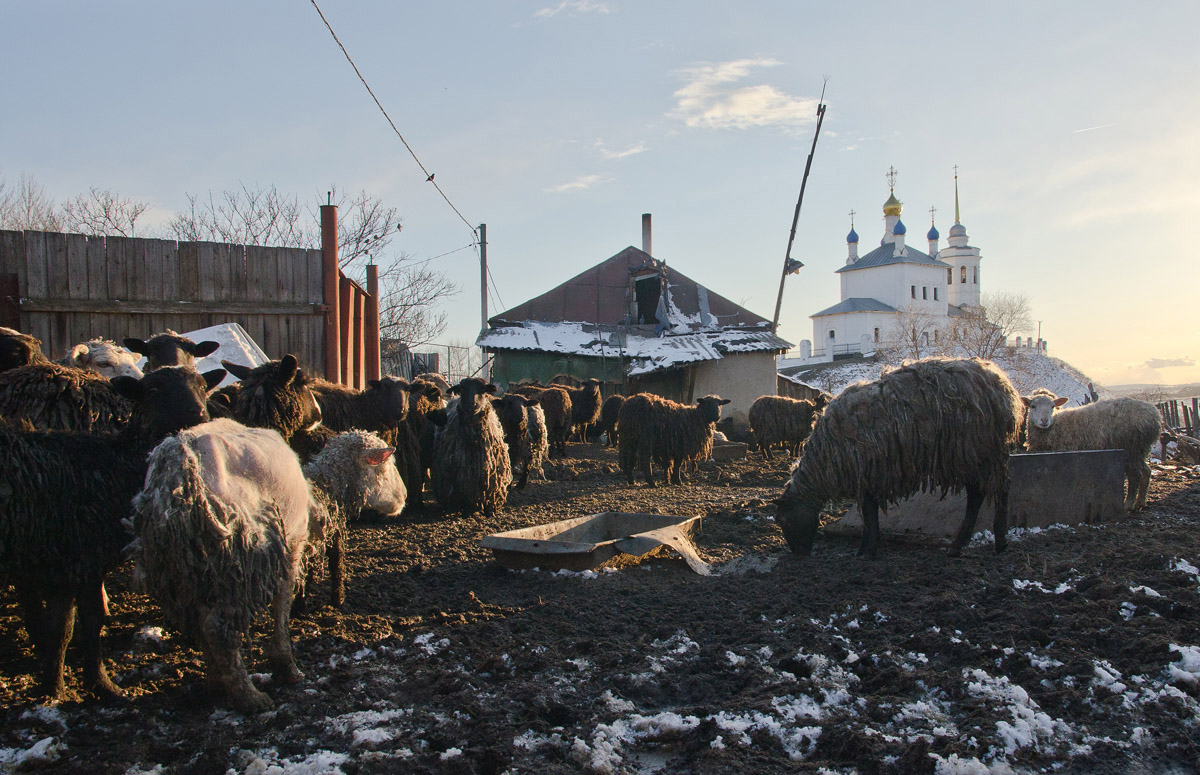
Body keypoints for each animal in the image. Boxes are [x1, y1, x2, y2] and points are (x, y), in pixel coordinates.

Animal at [0, 367, 224, 700]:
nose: (197, 413)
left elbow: (61, 628)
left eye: (201, 385)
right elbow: (91, 622)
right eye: (153, 390)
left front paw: (53, 689)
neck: (115, 466)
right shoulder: (85, 558)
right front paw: (102, 686)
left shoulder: (62, 567)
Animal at [130, 422, 403, 715]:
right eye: (385, 468)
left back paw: (220, 684)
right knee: (217, 629)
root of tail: (178, 464)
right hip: (237, 557)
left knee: (201, 625)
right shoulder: (291, 546)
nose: (404, 497)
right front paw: (286, 666)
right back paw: (250, 697)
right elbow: (282, 604)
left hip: (189, 569)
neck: (319, 495)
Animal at [427, 381, 511, 518]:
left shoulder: (492, 480)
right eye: (462, 388)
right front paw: (466, 513)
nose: (472, 405)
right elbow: (466, 496)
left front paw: (491, 512)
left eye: (483, 389)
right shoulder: (464, 480)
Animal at [777, 355, 1022, 561]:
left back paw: (999, 541)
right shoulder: (868, 477)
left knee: (1000, 489)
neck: (825, 460)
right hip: (972, 454)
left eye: (784, 521)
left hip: (981, 450)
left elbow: (869, 514)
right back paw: (959, 545)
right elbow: (868, 515)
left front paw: (868, 550)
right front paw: (865, 548)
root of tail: (1003, 387)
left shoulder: (868, 473)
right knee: (977, 494)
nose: (799, 555)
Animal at [1022, 391, 1161, 513]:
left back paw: (1128, 505)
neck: (1054, 426)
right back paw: (1140, 503)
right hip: (1140, 450)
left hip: (1131, 448)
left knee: (1135, 475)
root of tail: (1155, 416)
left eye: (1052, 406)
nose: (1044, 421)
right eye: (1033, 406)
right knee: (1146, 471)